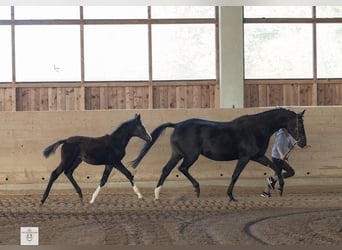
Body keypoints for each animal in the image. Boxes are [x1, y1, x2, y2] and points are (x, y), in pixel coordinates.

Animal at [132, 108, 308, 201]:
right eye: (300, 124)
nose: (303, 143)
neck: (257, 128)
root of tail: (177, 125)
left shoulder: (257, 156)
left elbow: (276, 168)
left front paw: (279, 187)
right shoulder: (245, 158)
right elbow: (235, 175)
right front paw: (230, 196)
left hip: (177, 154)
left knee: (166, 169)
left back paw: (157, 194)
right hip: (190, 156)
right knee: (182, 169)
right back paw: (196, 189)